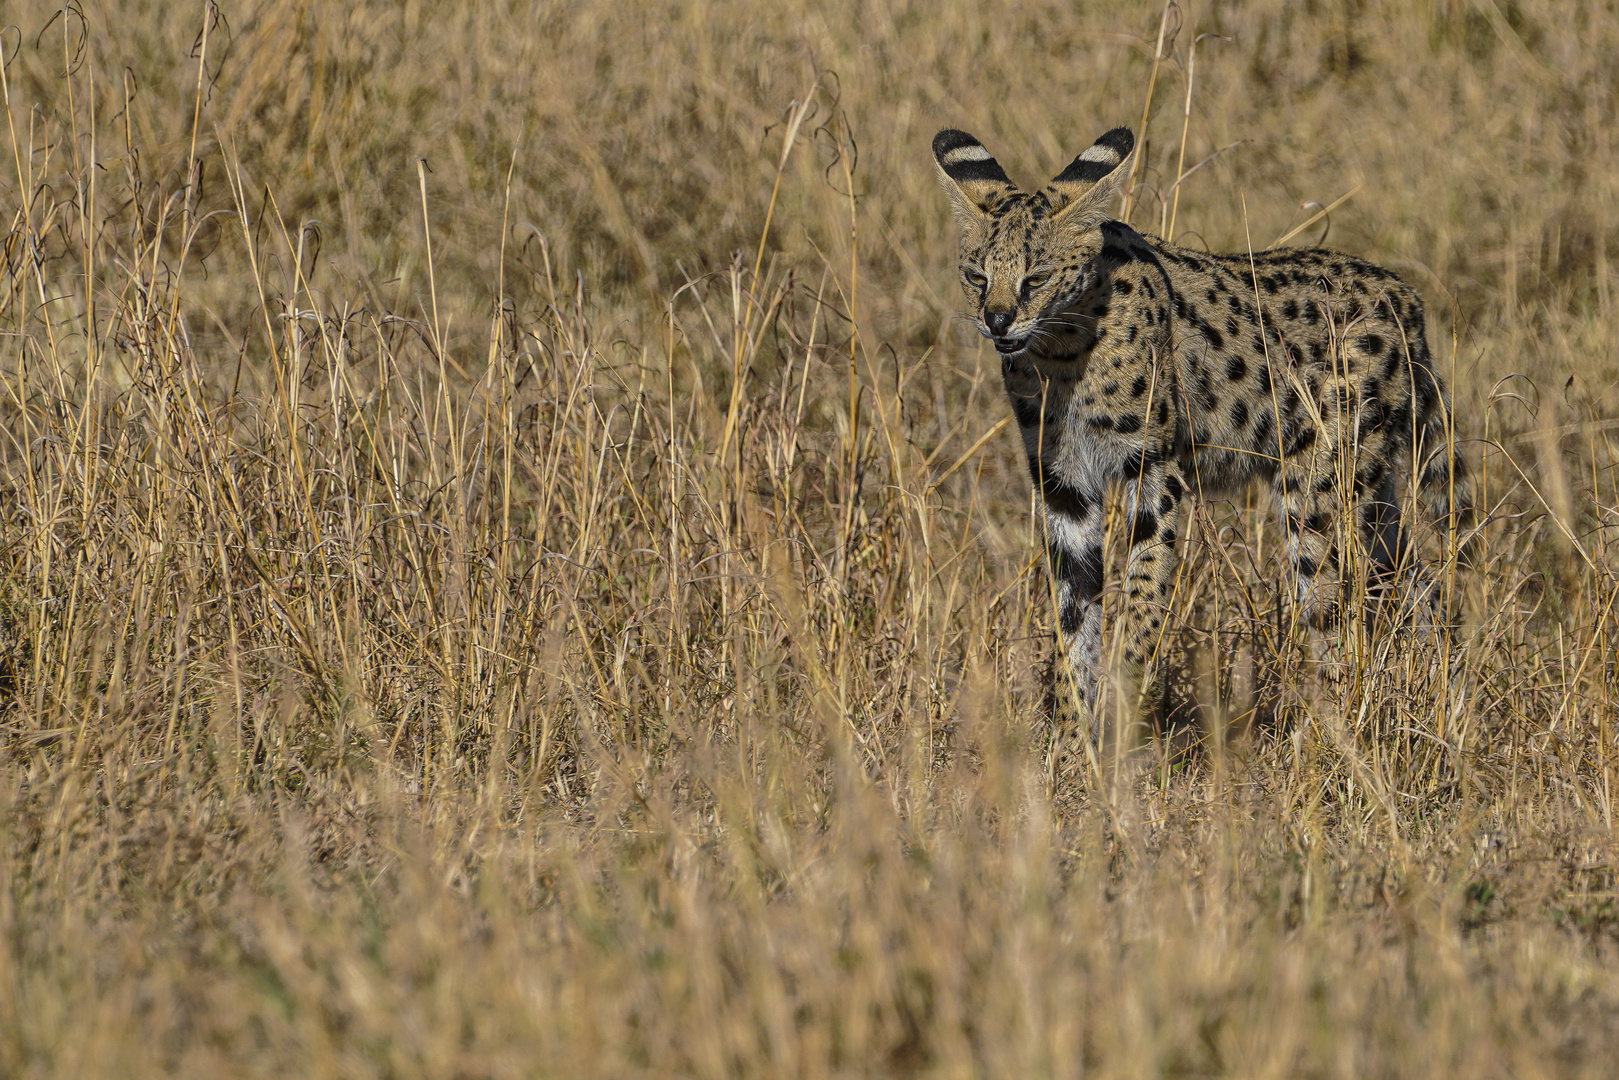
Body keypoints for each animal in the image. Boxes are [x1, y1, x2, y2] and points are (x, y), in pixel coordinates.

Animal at [932, 124, 1476, 767]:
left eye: (1035, 278)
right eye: (976, 276)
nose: (996, 322)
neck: (1061, 353)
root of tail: (1406, 299)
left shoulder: (1155, 472)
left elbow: (1142, 599)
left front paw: (1120, 722)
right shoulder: (1063, 486)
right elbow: (1073, 618)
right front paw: (1068, 745)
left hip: (1321, 496)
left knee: (1337, 615)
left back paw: (1329, 740)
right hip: (1369, 495)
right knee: (1421, 586)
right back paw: (1444, 700)